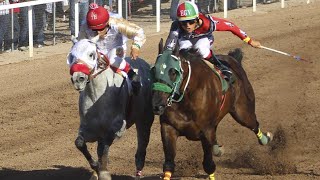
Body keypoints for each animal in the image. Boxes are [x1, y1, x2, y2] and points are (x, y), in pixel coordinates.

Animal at [67, 38, 154, 179]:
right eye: (71, 56)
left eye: (91, 54)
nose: (78, 79)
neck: (96, 97)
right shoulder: (90, 128)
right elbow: (79, 143)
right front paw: (96, 168)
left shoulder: (116, 127)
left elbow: (104, 148)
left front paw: (103, 172)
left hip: (145, 118)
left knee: (142, 145)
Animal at [152, 39, 272, 180]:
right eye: (153, 70)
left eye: (173, 72)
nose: (157, 105)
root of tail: (233, 59)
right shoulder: (168, 127)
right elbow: (169, 164)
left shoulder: (206, 131)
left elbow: (208, 164)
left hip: (242, 112)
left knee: (254, 124)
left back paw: (265, 139)